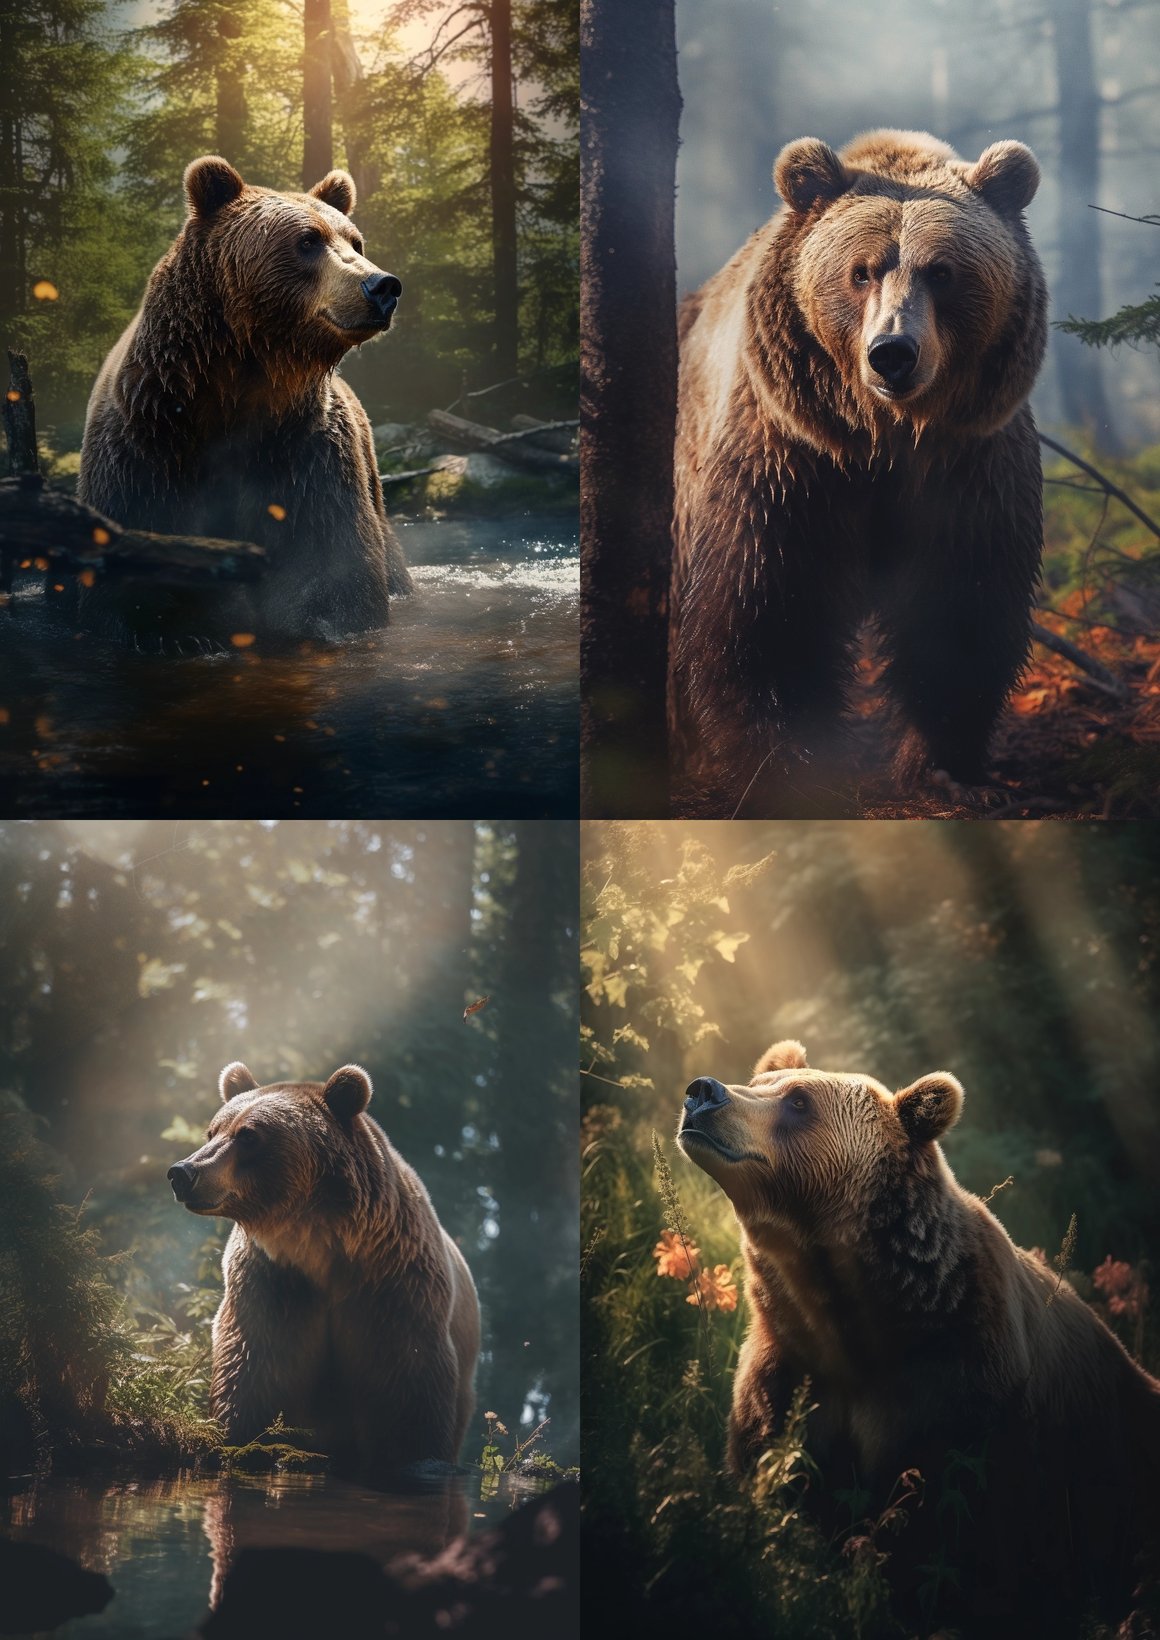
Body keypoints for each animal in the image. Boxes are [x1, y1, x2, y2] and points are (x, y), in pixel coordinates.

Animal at [78, 156, 412, 648]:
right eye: (308, 240)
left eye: (355, 240)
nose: (382, 285)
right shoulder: (146, 444)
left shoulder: (303, 452)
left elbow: (330, 564)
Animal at [167, 1061, 479, 1477]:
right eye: (213, 1130)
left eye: (248, 1135)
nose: (183, 1173)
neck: (321, 1245)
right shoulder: (274, 1283)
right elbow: (250, 1364)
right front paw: (239, 1437)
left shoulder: (394, 1285)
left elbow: (409, 1383)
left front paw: (413, 1457)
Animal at [670, 129, 1047, 817]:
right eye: (861, 270)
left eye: (942, 271)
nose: (893, 353)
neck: (885, 440)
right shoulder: (793, 459)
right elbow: (768, 602)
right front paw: (782, 766)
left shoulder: (967, 465)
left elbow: (962, 605)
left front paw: (946, 766)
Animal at [676, 1040, 1160, 1633]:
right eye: (764, 1082)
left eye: (798, 1101)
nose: (703, 1093)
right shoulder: (790, 1372)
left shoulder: (966, 1385)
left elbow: (956, 1536)